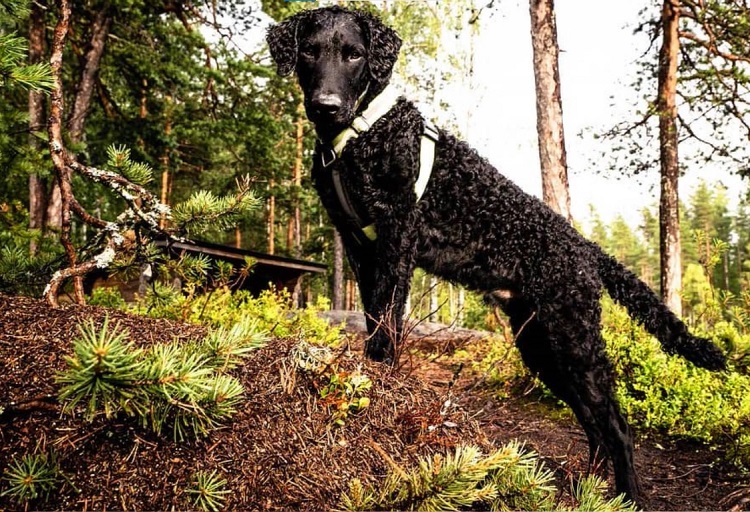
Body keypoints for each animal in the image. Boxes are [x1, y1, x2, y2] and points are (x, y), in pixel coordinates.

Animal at [268, 7, 724, 504]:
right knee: (594, 425)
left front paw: (378, 379)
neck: (359, 134)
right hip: (543, 346)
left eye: (354, 55)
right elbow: (372, 317)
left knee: (617, 426)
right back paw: (588, 489)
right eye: (309, 51)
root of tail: (586, 248)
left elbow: (387, 323)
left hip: (574, 337)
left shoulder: (397, 234)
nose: (326, 105)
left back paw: (629, 498)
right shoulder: (357, 244)